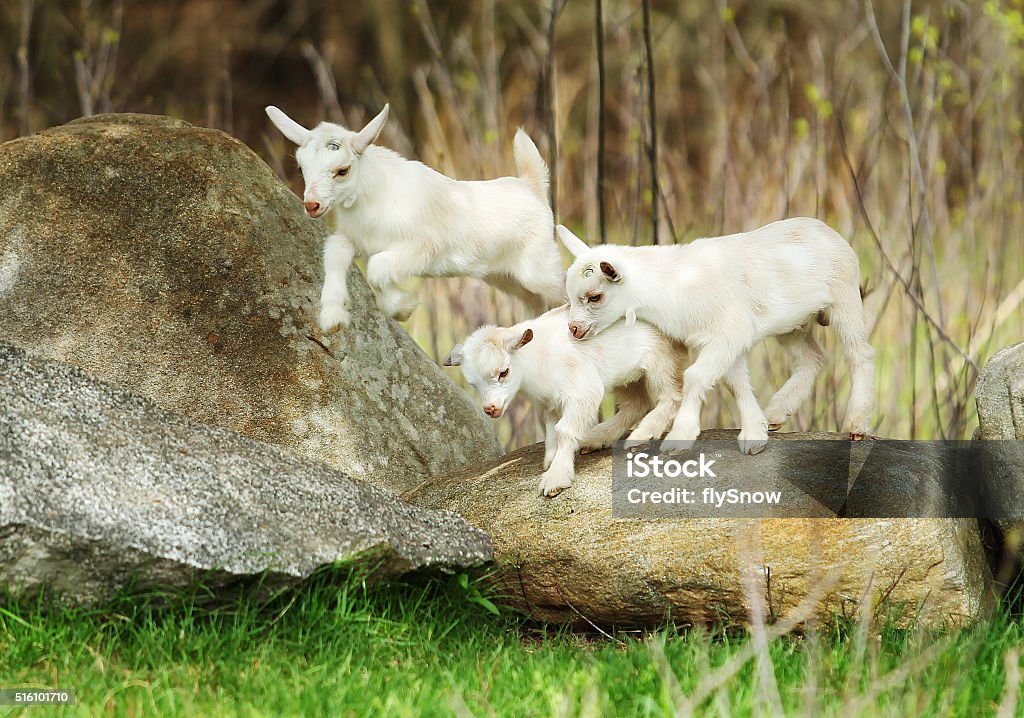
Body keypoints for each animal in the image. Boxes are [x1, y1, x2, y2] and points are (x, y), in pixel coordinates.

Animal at [264, 103, 565, 329]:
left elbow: (377, 267)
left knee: (563, 288)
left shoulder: (422, 248)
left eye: (342, 170)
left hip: (538, 267)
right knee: (537, 302)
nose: (312, 205)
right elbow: (334, 254)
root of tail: (532, 186)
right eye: (301, 167)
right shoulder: (353, 239)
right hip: (505, 277)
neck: (373, 197)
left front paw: (402, 308)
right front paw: (333, 317)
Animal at [444, 305, 684, 495]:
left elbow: (565, 429)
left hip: (661, 359)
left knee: (672, 396)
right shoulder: (550, 401)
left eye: (504, 372)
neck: (539, 354)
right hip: (626, 376)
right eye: (473, 383)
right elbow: (551, 428)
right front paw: (550, 460)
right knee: (636, 405)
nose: (491, 409)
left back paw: (644, 434)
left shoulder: (583, 391)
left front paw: (556, 477)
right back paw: (596, 438)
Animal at [557, 217, 876, 452]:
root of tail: (825, 229)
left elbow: (695, 377)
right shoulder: (724, 341)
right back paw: (776, 413)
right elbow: (736, 383)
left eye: (595, 296)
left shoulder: (729, 333)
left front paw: (677, 437)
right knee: (813, 359)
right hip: (792, 323)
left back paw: (857, 424)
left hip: (844, 296)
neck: (673, 282)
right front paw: (754, 432)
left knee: (859, 355)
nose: (574, 329)